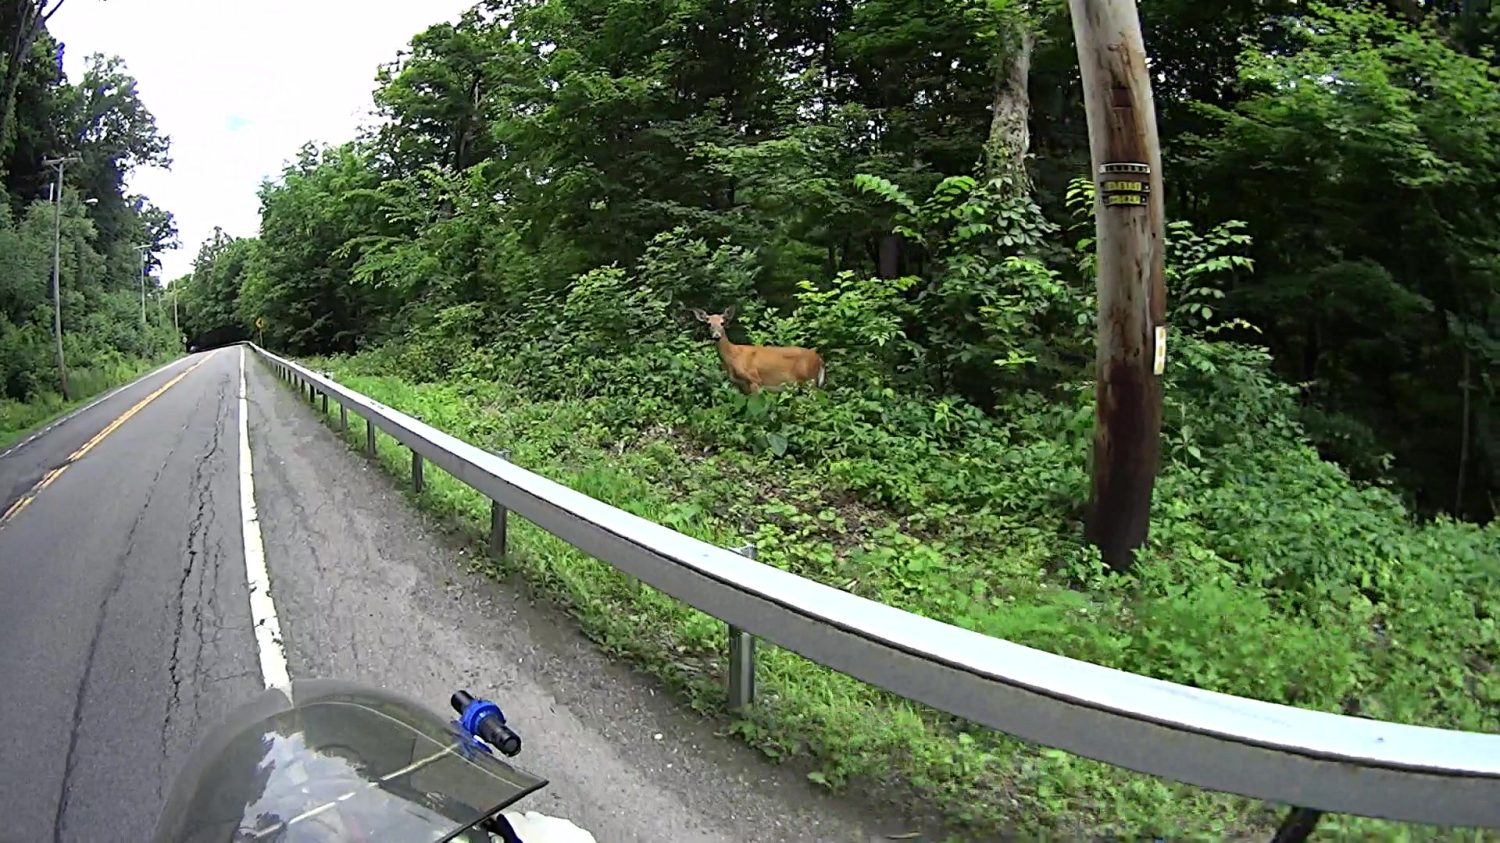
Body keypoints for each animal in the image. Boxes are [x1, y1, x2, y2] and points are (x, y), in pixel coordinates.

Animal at [690, 306, 825, 394]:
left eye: (723, 323)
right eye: (709, 324)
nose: (717, 336)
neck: (733, 357)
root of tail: (820, 359)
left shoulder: (754, 379)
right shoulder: (740, 385)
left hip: (811, 380)